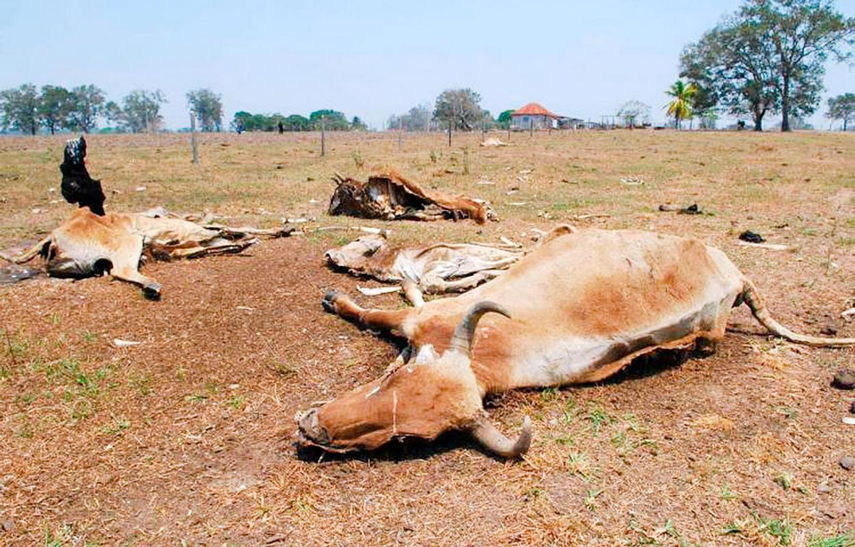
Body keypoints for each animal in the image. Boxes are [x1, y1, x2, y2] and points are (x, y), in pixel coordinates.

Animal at [1, 208, 292, 300]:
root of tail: (51, 238)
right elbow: (234, 228)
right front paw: (280, 229)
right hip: (129, 240)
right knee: (122, 269)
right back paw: (152, 285)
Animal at [326, 169, 492, 225]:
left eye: (339, 191)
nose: (330, 209)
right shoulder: (400, 213)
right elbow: (424, 215)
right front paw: (450, 215)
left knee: (460, 200)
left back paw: (485, 210)